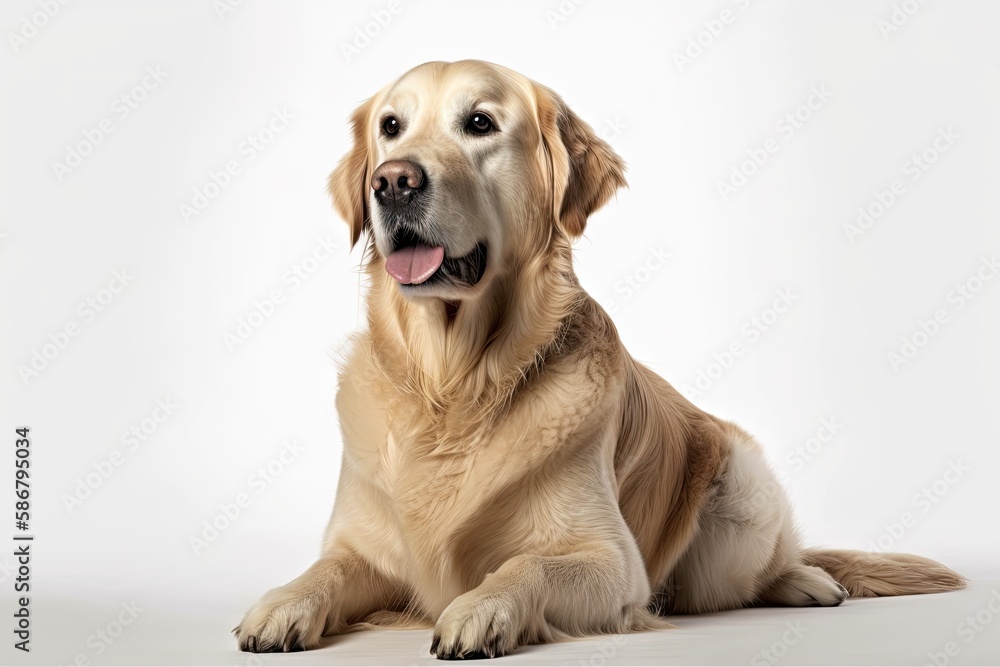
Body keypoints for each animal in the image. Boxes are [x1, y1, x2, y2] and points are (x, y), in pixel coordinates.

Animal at [232, 60, 960, 660]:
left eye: (479, 122)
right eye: (391, 126)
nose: (393, 181)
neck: (455, 384)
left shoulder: (611, 560)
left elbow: (525, 564)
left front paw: (480, 610)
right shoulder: (363, 544)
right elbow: (326, 568)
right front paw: (280, 603)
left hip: (740, 490)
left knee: (761, 566)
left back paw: (808, 579)